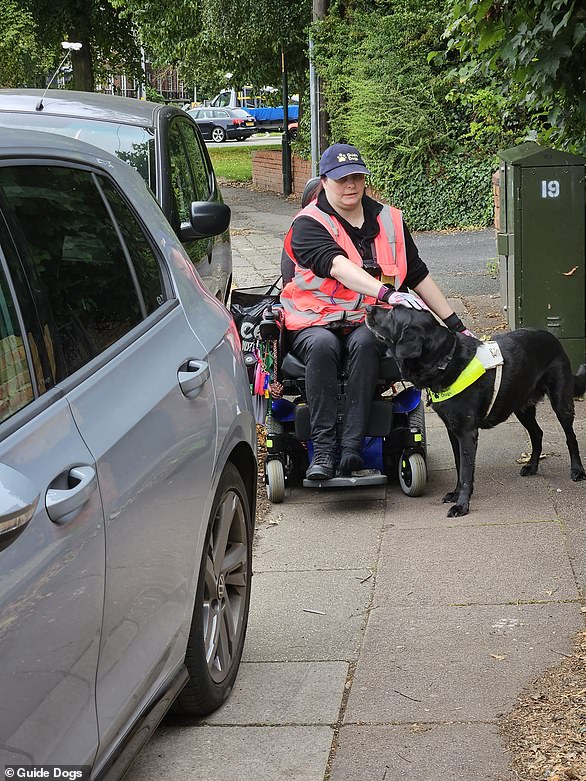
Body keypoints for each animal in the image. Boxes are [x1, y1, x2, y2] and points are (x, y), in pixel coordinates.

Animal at [364, 304, 584, 516]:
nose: (367, 309)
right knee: (537, 433)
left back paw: (577, 470)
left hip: (561, 402)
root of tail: (551, 336)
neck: (444, 360)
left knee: (570, 436)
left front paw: (461, 505)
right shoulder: (452, 431)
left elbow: (466, 471)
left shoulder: (467, 433)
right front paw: (456, 494)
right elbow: (459, 465)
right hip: (521, 406)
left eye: (393, 313)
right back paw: (532, 466)